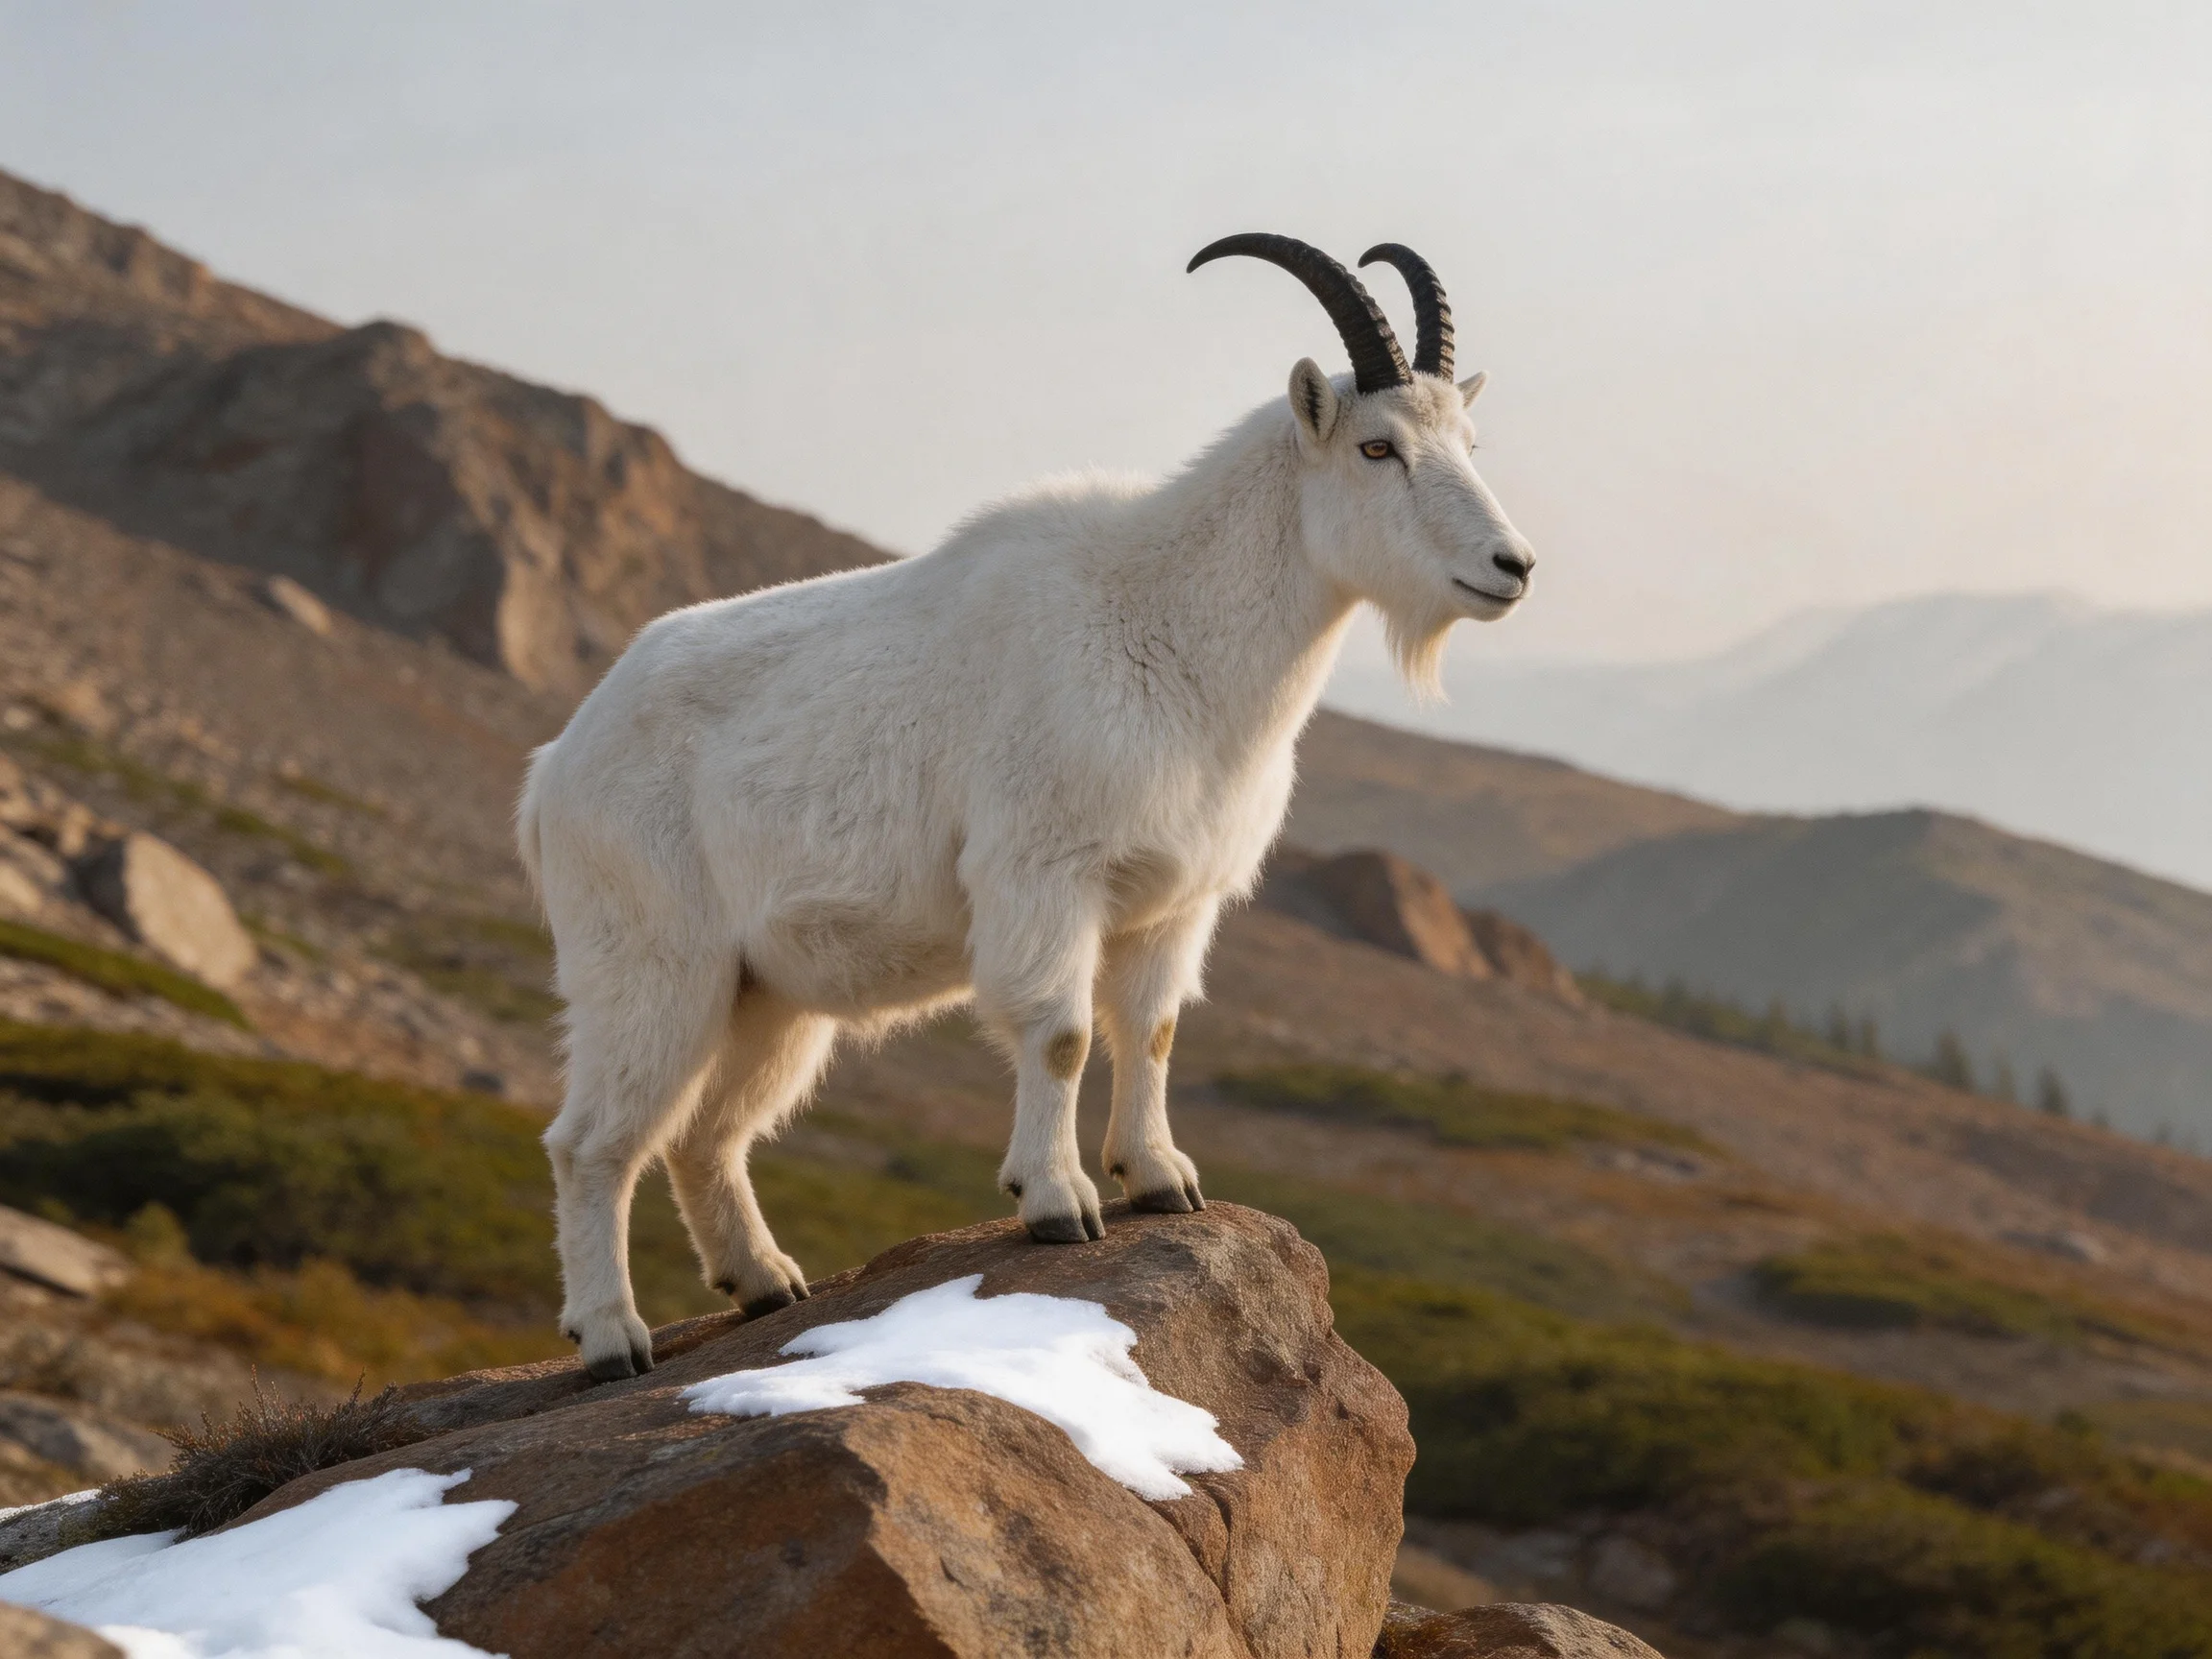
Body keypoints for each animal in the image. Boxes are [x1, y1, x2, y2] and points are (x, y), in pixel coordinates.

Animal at [519, 234, 1537, 1379]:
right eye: (1376, 447)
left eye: (1469, 439)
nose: (1510, 567)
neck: (1168, 630)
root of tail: (556, 766)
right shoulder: (1045, 873)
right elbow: (1060, 1034)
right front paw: (1057, 1203)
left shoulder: (1173, 901)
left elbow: (1152, 1030)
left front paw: (1162, 1179)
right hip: (650, 966)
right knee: (592, 1141)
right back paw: (613, 1337)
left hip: (763, 995)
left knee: (709, 1132)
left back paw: (766, 1283)